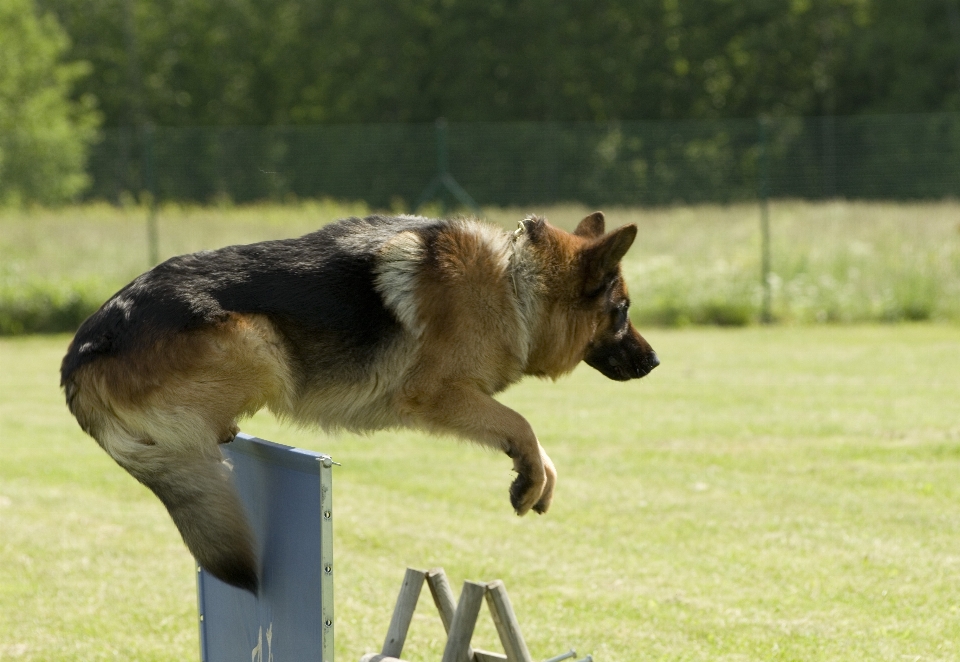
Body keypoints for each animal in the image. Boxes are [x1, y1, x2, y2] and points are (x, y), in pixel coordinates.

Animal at [62, 211, 660, 592]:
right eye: (623, 311)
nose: (655, 362)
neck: (516, 281)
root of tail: (81, 351)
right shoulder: (438, 395)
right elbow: (522, 422)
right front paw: (529, 478)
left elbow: (535, 442)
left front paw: (538, 479)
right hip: (260, 343)